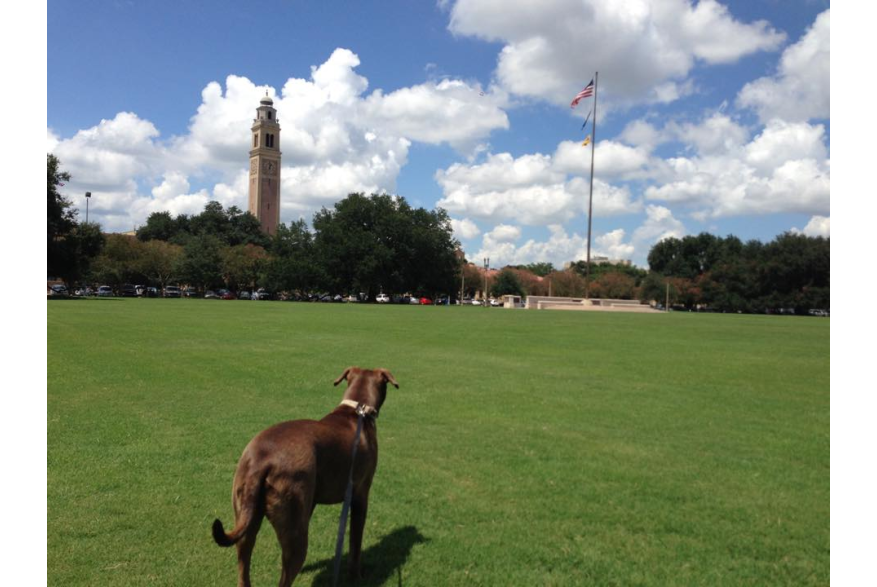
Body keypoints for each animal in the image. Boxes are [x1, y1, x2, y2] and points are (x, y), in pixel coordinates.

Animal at [214, 368, 398, 587]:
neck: (357, 410)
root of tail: (261, 461)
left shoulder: (309, 503)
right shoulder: (360, 495)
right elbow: (355, 543)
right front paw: (357, 576)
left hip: (248, 516)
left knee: (245, 559)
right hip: (295, 534)